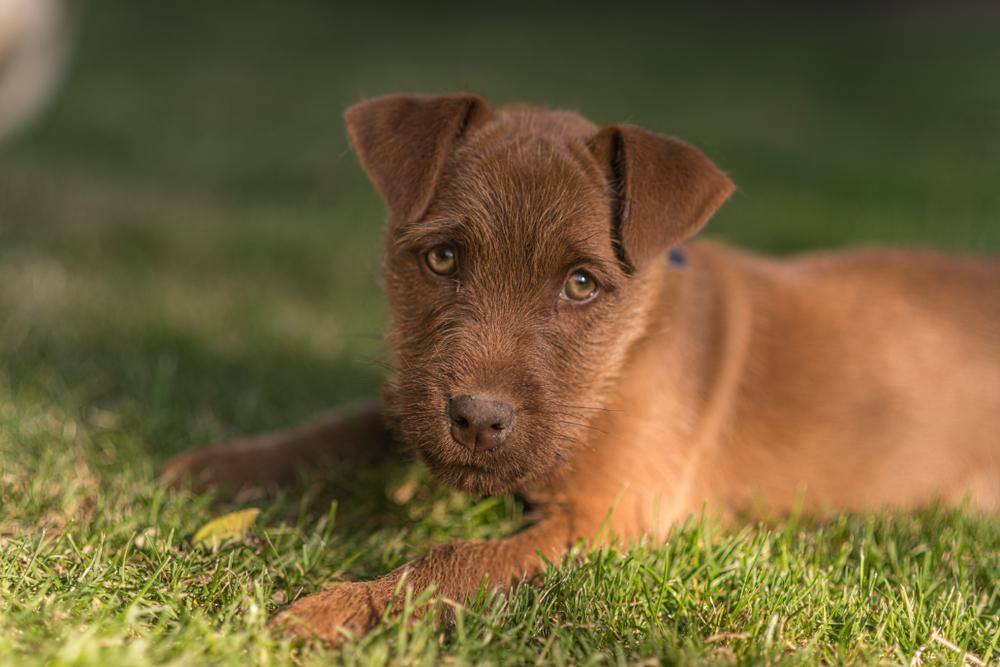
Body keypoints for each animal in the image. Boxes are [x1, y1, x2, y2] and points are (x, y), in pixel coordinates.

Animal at [160, 92, 996, 640]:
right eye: (442, 257)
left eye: (583, 283)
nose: (477, 418)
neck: (627, 353)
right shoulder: (414, 401)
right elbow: (346, 425)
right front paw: (222, 466)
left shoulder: (602, 518)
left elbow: (452, 560)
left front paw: (334, 608)